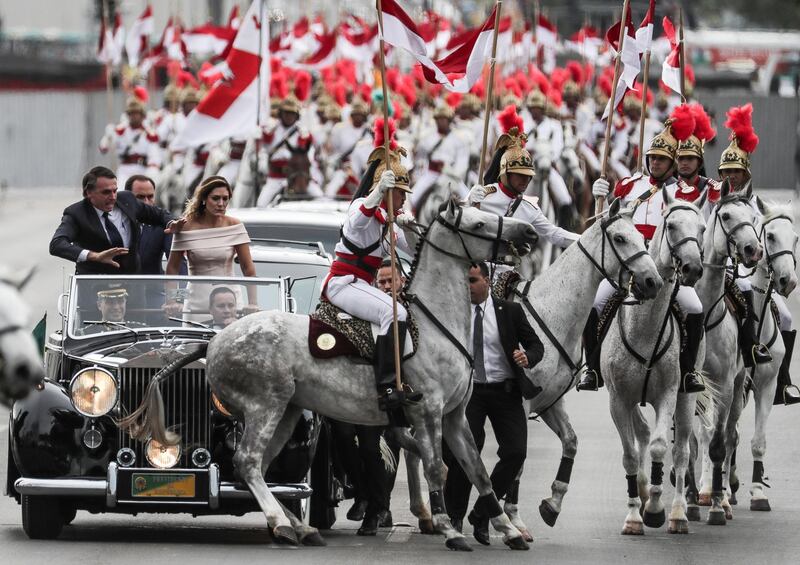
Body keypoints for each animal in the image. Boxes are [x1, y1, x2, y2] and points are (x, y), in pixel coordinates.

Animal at [122, 203, 540, 552]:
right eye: (478, 223)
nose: (528, 233)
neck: (434, 324)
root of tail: (213, 341)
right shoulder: (428, 413)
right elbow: (438, 467)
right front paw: (450, 530)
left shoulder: (454, 417)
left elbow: (478, 470)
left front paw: (509, 531)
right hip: (264, 407)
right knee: (248, 461)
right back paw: (282, 524)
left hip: (287, 412)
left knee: (261, 469)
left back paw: (298, 527)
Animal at [604, 191, 708, 532]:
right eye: (672, 225)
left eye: (702, 228)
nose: (692, 268)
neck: (646, 330)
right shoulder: (618, 399)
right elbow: (630, 454)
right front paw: (634, 514)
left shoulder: (668, 394)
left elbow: (663, 446)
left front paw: (655, 509)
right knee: (642, 434)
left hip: (686, 398)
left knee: (682, 449)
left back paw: (677, 512)